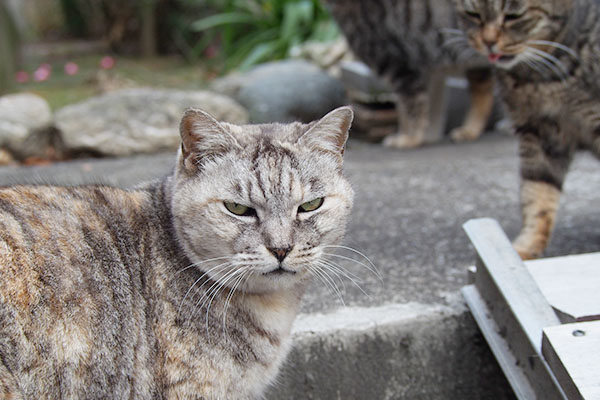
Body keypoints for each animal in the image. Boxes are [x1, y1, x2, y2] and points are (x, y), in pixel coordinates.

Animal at [326, 0, 494, 148]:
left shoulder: (398, 63)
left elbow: (409, 108)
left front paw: (409, 138)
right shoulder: (431, 69)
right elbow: (432, 106)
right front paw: (429, 135)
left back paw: (469, 130)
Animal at [454, 0, 600, 260]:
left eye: (513, 16)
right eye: (473, 14)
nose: (488, 42)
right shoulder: (538, 130)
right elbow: (538, 191)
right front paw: (523, 248)